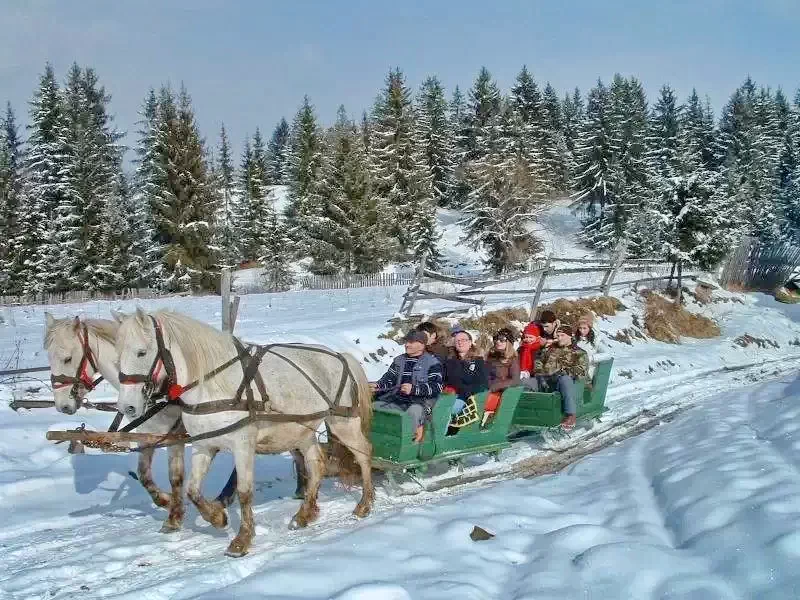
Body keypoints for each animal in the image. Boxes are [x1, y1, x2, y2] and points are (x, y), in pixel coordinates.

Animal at [44, 312, 188, 532]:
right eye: (49, 359)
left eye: (67, 359)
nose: (62, 406)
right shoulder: (149, 434)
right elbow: (144, 475)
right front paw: (168, 503)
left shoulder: (175, 434)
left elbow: (176, 476)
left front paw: (174, 513)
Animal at [116, 310, 376, 556]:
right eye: (118, 356)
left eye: (141, 352)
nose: (127, 407)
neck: (213, 385)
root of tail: (341, 356)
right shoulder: (204, 445)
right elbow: (193, 490)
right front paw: (217, 518)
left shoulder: (242, 444)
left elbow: (244, 491)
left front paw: (241, 540)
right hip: (302, 430)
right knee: (316, 464)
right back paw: (304, 514)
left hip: (343, 422)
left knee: (364, 453)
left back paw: (364, 505)